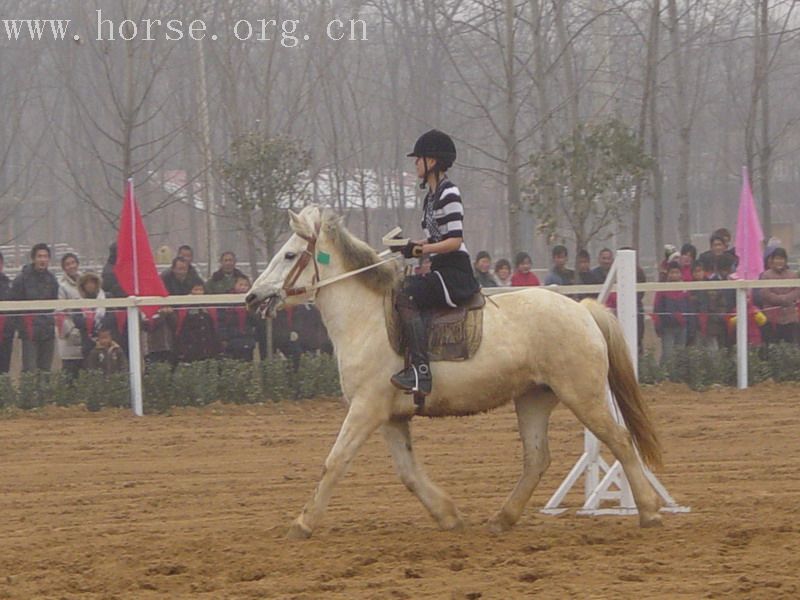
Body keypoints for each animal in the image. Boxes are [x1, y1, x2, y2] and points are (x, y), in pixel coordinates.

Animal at [247, 206, 664, 540]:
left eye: (289, 254)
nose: (252, 296)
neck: (365, 319)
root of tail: (582, 310)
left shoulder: (366, 409)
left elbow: (334, 462)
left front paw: (302, 524)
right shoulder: (389, 416)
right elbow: (408, 472)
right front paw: (448, 515)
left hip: (584, 395)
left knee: (620, 440)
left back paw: (648, 510)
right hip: (534, 398)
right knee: (537, 459)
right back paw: (501, 519)